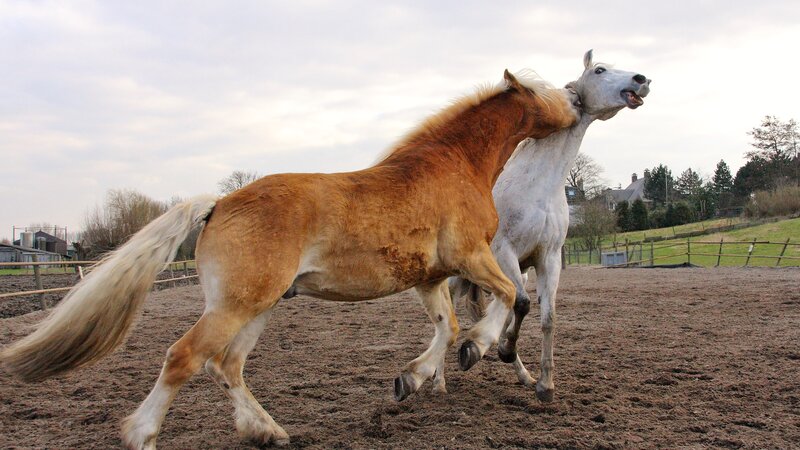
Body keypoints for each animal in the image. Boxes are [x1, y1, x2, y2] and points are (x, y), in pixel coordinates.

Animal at [1, 69, 580, 449]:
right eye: (548, 90)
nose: (575, 100)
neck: (455, 164)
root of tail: (218, 204)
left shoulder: (431, 277)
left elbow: (447, 326)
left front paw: (412, 379)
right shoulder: (471, 256)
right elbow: (505, 297)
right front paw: (477, 349)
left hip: (260, 306)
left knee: (227, 365)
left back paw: (269, 431)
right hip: (236, 305)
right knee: (185, 357)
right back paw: (142, 434)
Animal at [450, 50, 651, 402]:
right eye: (600, 70)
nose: (641, 80)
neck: (539, 187)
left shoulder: (549, 257)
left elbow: (546, 317)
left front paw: (544, 384)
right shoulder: (505, 252)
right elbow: (523, 304)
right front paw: (501, 352)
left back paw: (512, 369)